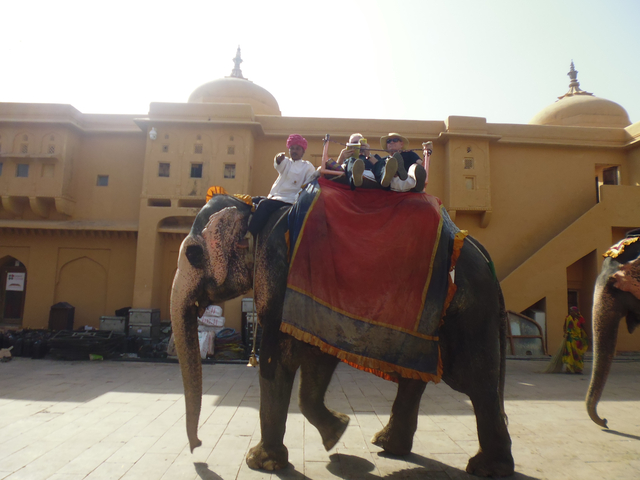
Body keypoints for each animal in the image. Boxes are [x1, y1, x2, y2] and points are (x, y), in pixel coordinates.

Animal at [170, 192, 515, 477]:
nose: (197, 448)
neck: (255, 212)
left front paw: (260, 462)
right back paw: (387, 445)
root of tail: (477, 247)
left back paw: (487, 468)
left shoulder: (278, 274)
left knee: (474, 380)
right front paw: (337, 431)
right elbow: (316, 354)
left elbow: (278, 359)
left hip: (468, 310)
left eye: (193, 254)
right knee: (418, 378)